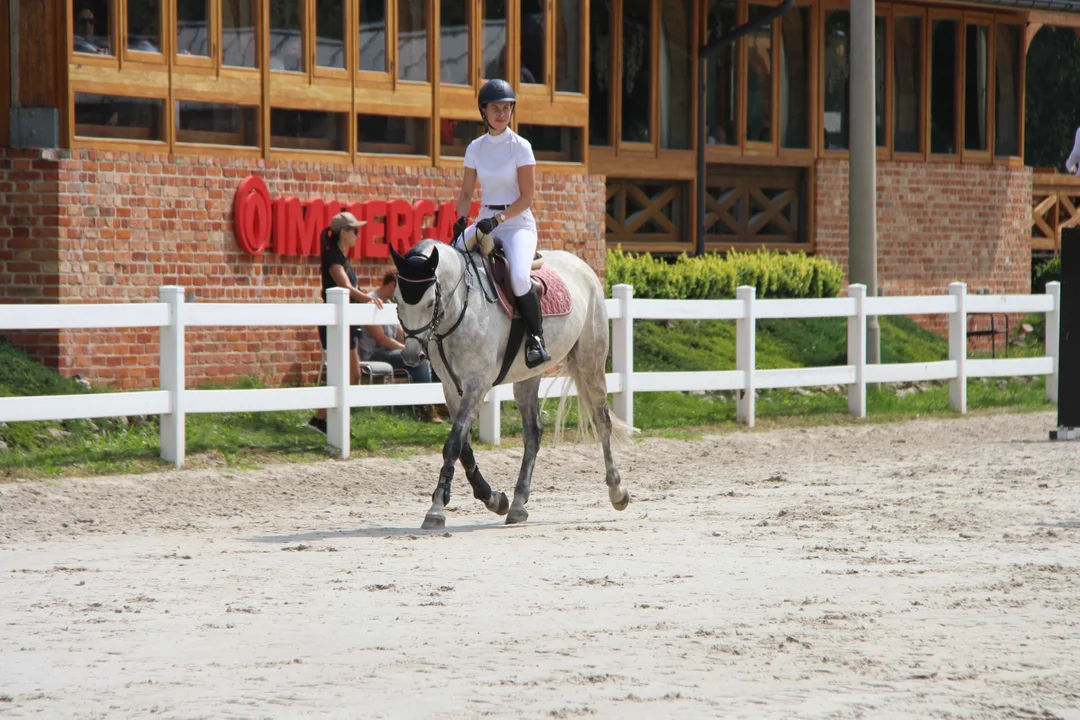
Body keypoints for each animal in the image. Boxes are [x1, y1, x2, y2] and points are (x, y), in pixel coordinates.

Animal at [390, 241, 630, 528]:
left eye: (429, 302)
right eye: (397, 300)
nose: (412, 356)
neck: (461, 305)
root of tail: (583, 266)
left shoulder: (477, 384)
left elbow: (453, 444)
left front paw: (436, 508)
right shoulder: (451, 388)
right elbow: (464, 448)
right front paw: (494, 499)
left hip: (590, 363)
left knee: (601, 421)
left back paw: (617, 492)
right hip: (528, 377)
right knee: (533, 434)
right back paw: (517, 504)